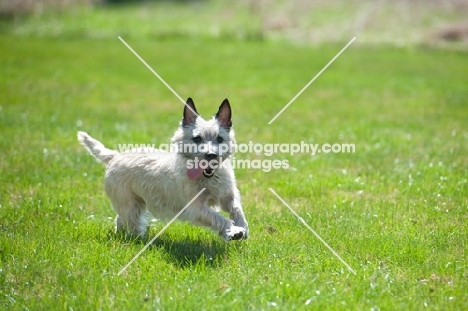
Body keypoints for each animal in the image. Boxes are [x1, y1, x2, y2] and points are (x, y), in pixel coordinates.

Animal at [77, 98, 249, 243]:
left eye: (219, 139)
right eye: (197, 138)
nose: (211, 155)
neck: (209, 178)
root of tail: (115, 156)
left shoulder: (227, 194)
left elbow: (236, 208)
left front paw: (243, 227)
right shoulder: (196, 208)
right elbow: (219, 218)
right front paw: (233, 230)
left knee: (120, 219)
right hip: (130, 204)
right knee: (131, 221)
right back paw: (139, 239)